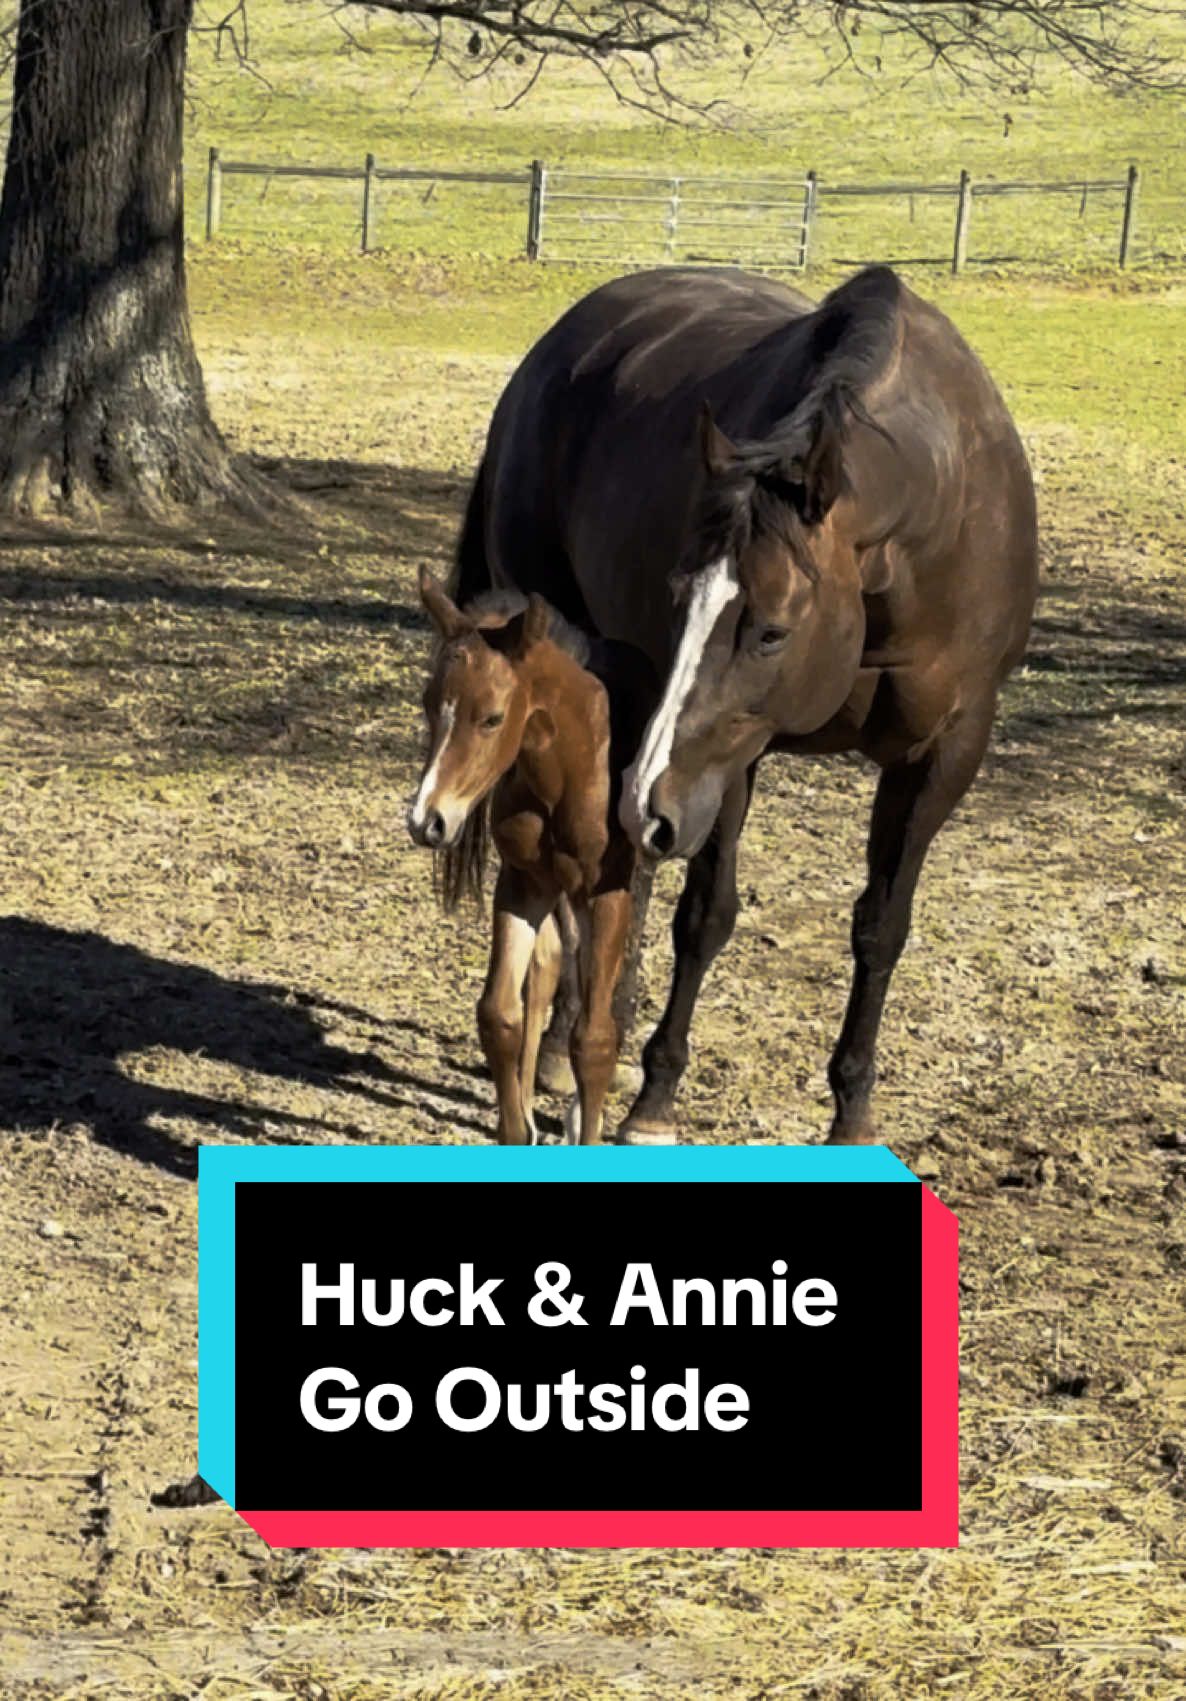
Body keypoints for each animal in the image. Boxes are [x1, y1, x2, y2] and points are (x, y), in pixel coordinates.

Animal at [410, 571, 646, 1143]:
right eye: (429, 702)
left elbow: (596, 1038)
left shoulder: (607, 893)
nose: (427, 821)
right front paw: (518, 1127)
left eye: (493, 718)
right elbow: (500, 1013)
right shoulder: (523, 882)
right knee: (548, 963)